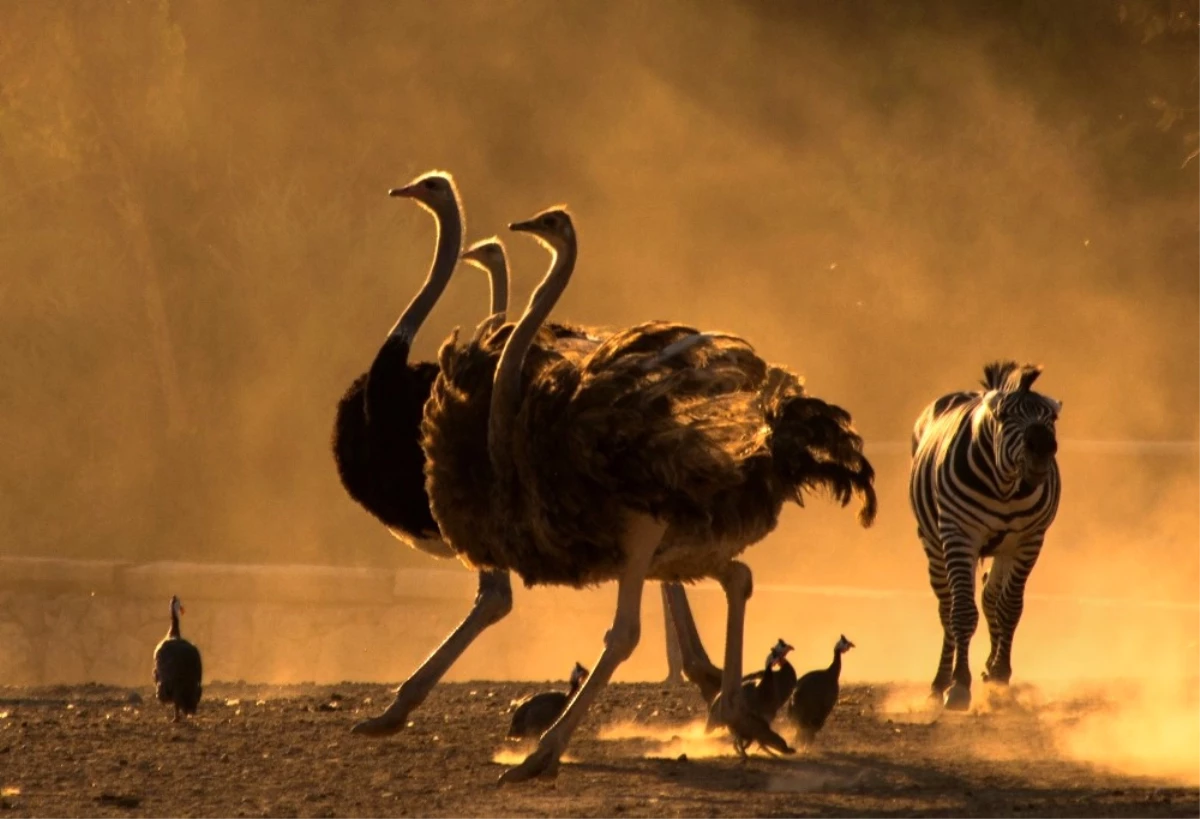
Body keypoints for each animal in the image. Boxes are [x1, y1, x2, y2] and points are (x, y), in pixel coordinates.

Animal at [907, 357, 1060, 706]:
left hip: (1004, 548)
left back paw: (989, 669)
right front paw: (958, 686)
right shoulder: (960, 536)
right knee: (946, 607)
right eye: (1004, 416)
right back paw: (939, 684)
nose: (1044, 447)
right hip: (933, 544)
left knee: (991, 594)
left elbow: (1009, 607)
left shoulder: (1029, 541)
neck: (1005, 486)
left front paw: (1000, 676)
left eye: (1052, 418)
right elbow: (962, 612)